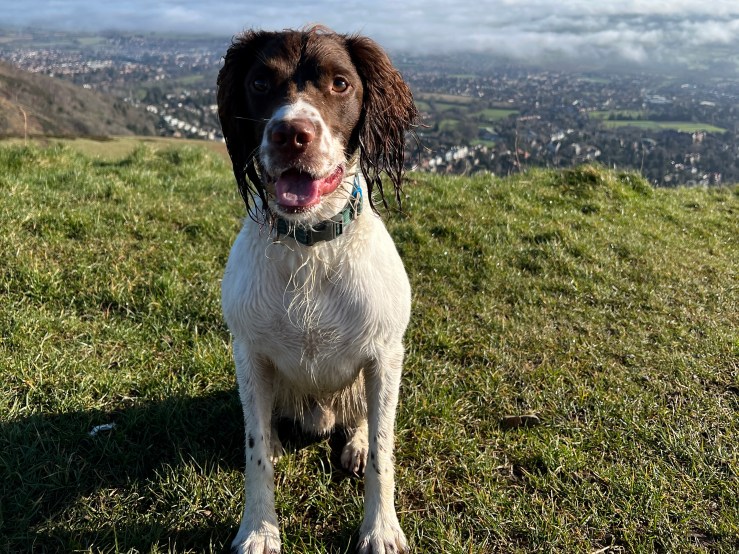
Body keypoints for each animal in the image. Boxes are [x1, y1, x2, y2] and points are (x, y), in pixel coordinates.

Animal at [217, 26, 418, 554]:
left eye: (340, 83)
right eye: (260, 82)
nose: (290, 134)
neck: (310, 244)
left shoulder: (385, 355)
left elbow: (384, 452)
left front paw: (380, 529)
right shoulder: (249, 354)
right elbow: (254, 451)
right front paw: (259, 529)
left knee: (363, 421)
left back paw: (355, 442)